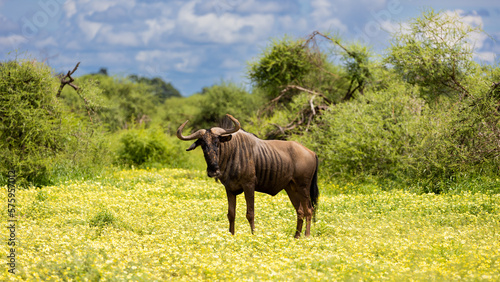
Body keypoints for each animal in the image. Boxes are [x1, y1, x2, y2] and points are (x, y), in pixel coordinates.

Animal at [177, 114, 316, 238]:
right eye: (202, 145)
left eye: (217, 142)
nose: (213, 170)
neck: (232, 153)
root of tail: (311, 152)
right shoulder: (229, 189)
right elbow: (231, 214)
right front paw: (231, 235)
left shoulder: (248, 186)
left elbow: (250, 213)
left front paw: (254, 235)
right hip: (291, 188)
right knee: (300, 211)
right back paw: (296, 236)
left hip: (303, 187)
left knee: (309, 210)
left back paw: (307, 236)